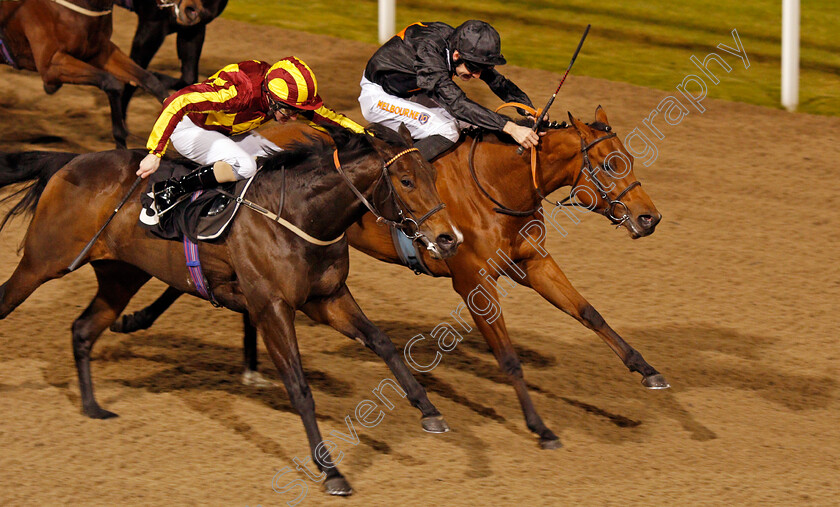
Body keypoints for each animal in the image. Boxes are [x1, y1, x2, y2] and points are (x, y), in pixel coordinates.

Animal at [0, 124, 460, 496]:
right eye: (405, 180)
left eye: (432, 175)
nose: (448, 237)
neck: (299, 216)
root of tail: (71, 160)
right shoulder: (272, 308)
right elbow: (299, 387)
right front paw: (331, 472)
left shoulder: (327, 298)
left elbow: (382, 342)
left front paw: (429, 410)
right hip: (44, 260)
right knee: (9, 301)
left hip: (121, 275)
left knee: (82, 328)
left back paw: (93, 406)